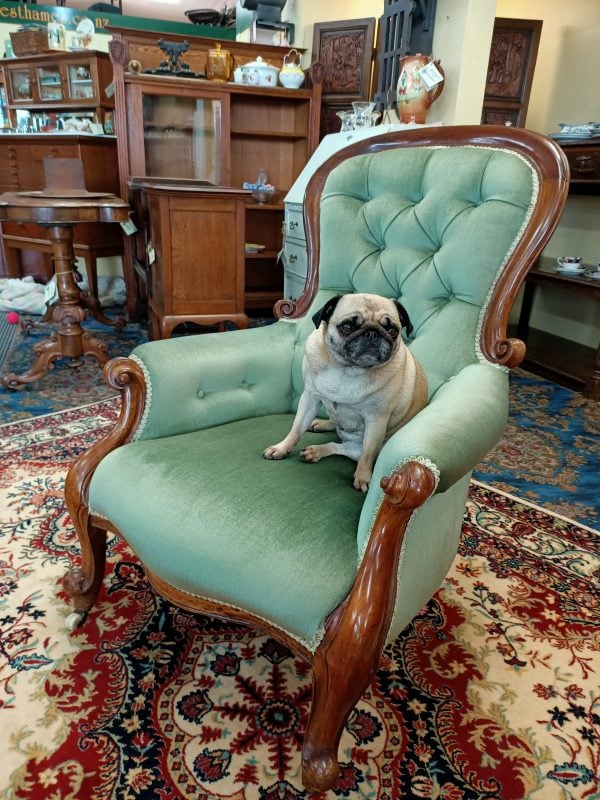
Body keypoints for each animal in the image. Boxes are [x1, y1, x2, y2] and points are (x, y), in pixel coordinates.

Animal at [262, 294, 426, 490]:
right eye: (347, 327)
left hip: (358, 446)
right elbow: (296, 429)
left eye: (392, 330)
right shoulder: (309, 398)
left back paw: (315, 451)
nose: (372, 333)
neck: (348, 370)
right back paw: (321, 425)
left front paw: (363, 478)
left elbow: (367, 455)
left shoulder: (376, 419)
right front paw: (282, 448)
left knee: (339, 447)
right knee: (335, 426)